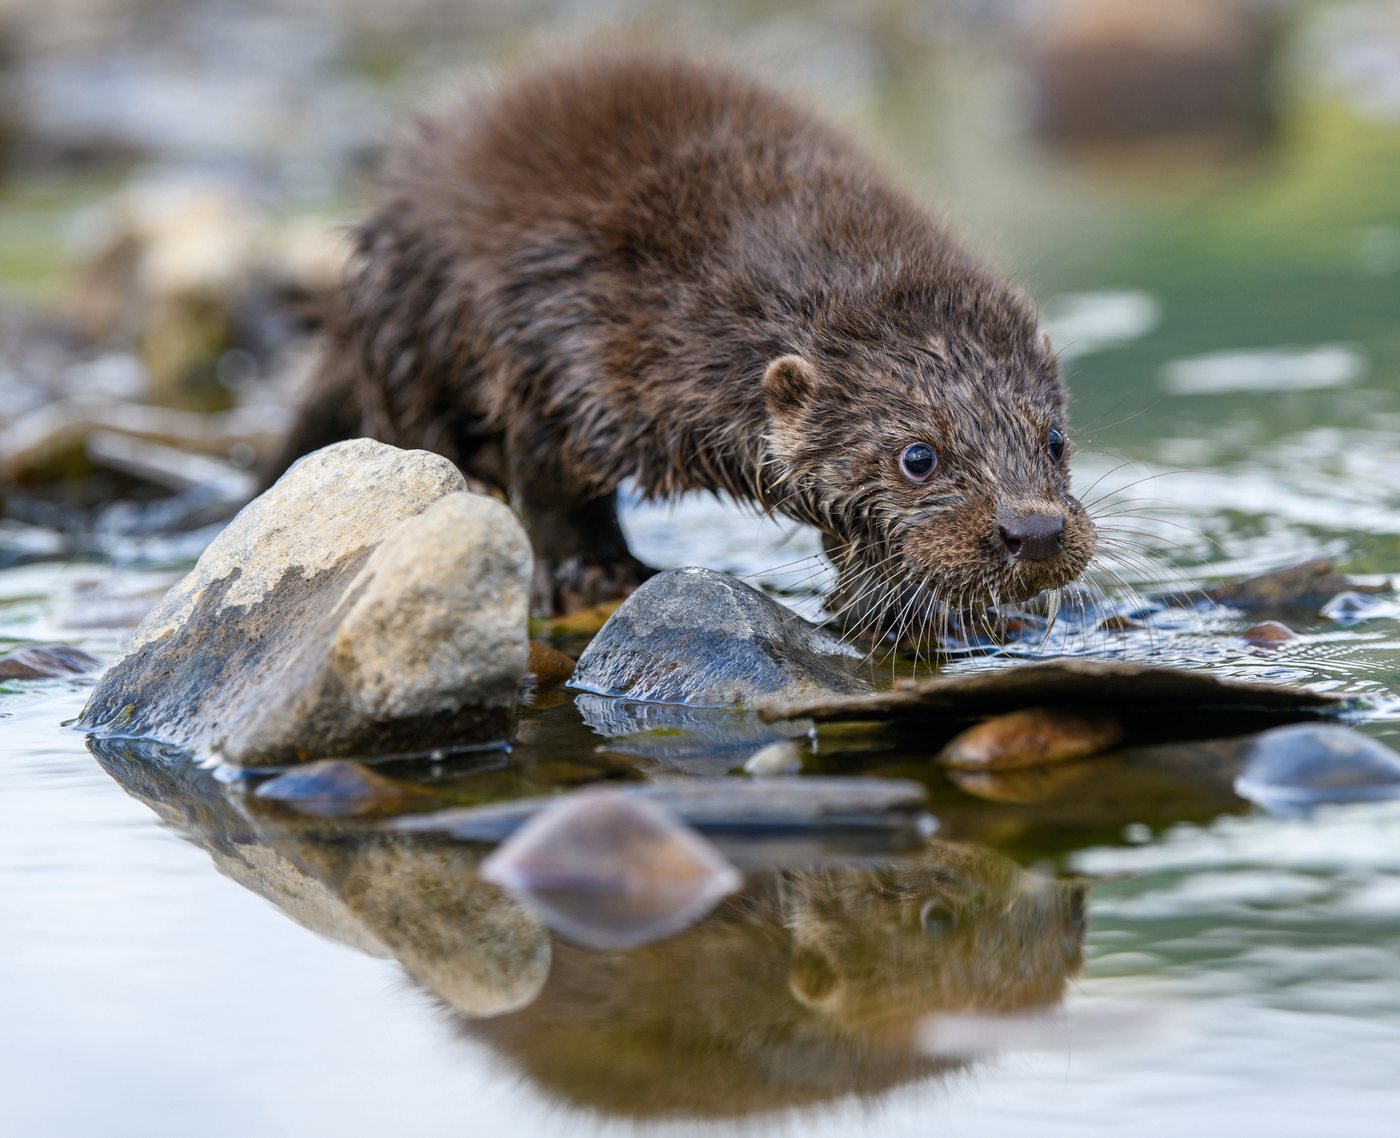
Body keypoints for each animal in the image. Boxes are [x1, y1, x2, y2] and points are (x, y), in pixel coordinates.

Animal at [271, 53, 1097, 628]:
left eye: (1056, 440)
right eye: (917, 458)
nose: (1034, 529)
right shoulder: (560, 345)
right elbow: (549, 478)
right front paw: (587, 574)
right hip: (409, 318)